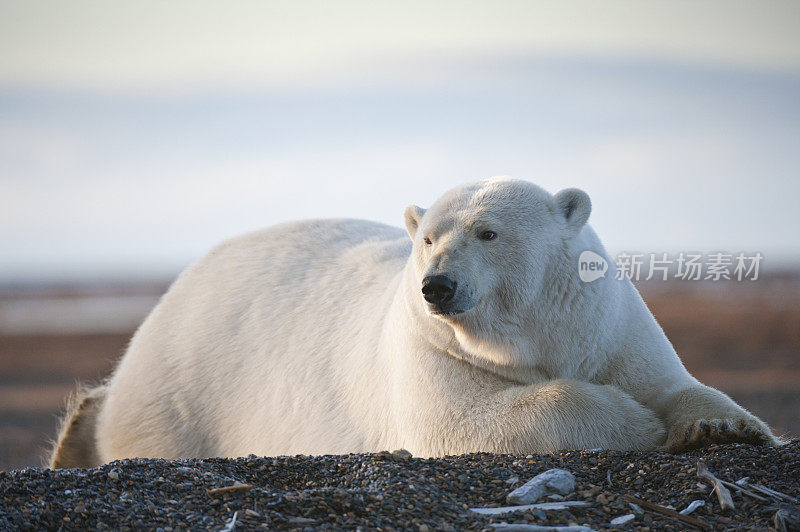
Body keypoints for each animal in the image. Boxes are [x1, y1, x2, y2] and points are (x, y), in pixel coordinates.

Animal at [48, 178, 776, 466]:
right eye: (427, 238)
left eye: (487, 232)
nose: (437, 286)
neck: (540, 334)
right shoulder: (428, 354)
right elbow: (470, 422)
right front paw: (638, 423)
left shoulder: (611, 326)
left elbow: (673, 381)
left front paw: (721, 425)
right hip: (186, 384)